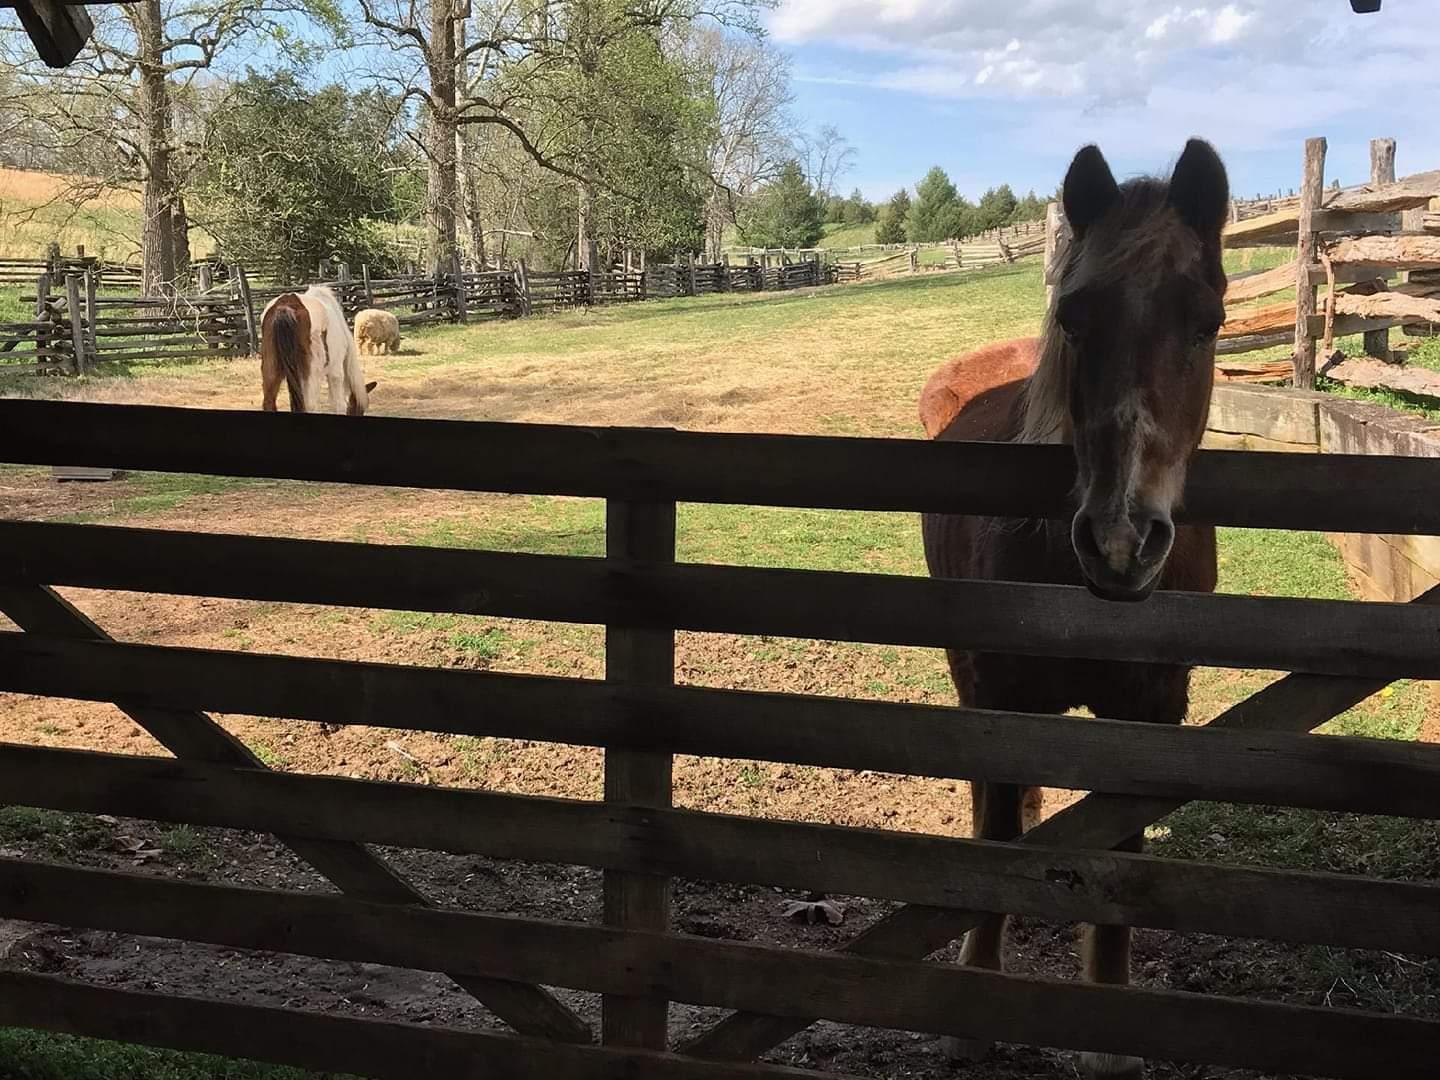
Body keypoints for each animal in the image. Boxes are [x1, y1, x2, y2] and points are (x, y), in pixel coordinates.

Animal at [921, 141, 1226, 1080]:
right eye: (1077, 317)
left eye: (1207, 322)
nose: (1122, 542)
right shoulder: (1001, 701)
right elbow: (993, 837)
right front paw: (973, 999)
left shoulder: (1151, 712)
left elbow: (1120, 854)